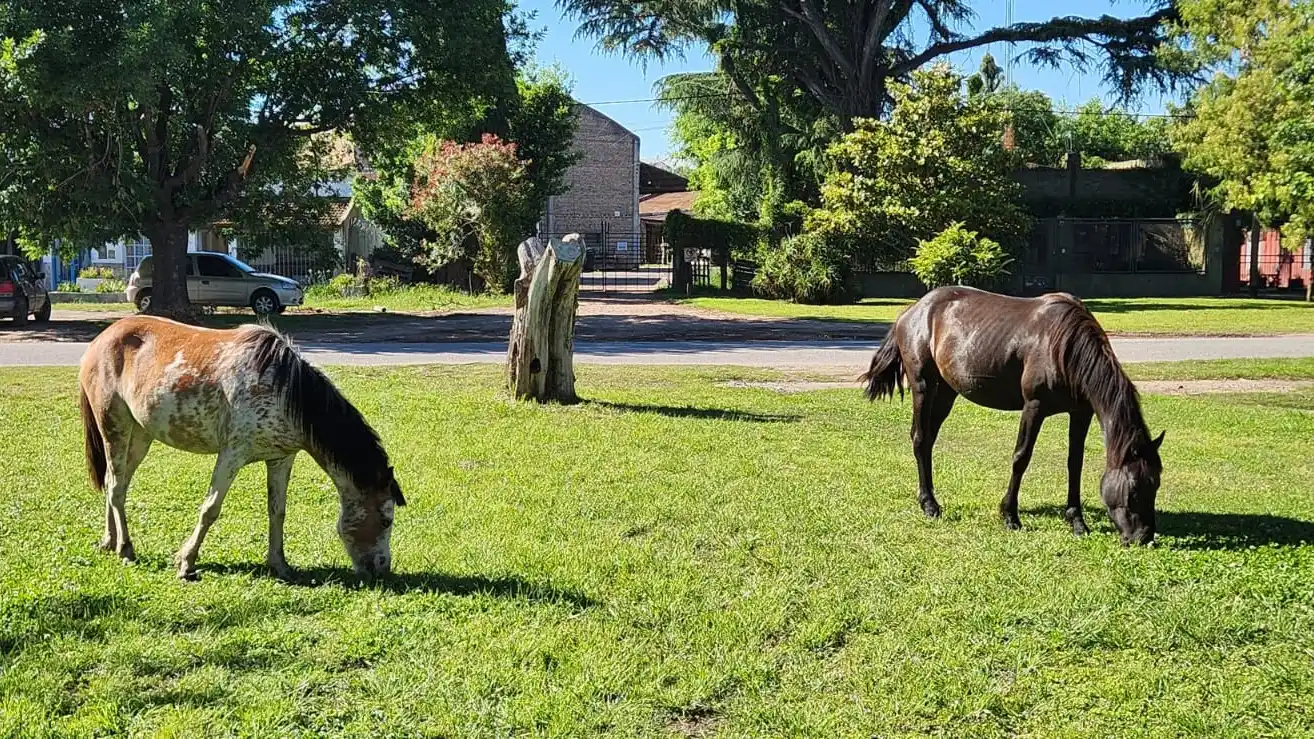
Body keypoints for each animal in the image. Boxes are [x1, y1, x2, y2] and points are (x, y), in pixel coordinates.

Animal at [78, 316, 406, 580]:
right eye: (386, 520)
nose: (382, 569)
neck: (284, 389)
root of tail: (102, 339)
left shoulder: (281, 458)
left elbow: (277, 511)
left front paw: (280, 565)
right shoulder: (232, 454)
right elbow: (210, 509)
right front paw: (186, 563)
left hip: (140, 436)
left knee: (115, 483)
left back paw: (109, 541)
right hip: (114, 426)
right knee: (116, 486)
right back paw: (125, 548)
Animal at [860, 286, 1164, 546]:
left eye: (1156, 484)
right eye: (1134, 488)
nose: (1143, 537)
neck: (1063, 347)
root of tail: (912, 311)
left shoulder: (1081, 413)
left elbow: (1074, 463)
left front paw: (1076, 521)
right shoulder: (1034, 407)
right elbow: (1021, 457)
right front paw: (1010, 515)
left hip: (946, 392)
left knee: (928, 440)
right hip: (923, 387)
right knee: (920, 439)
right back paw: (929, 505)